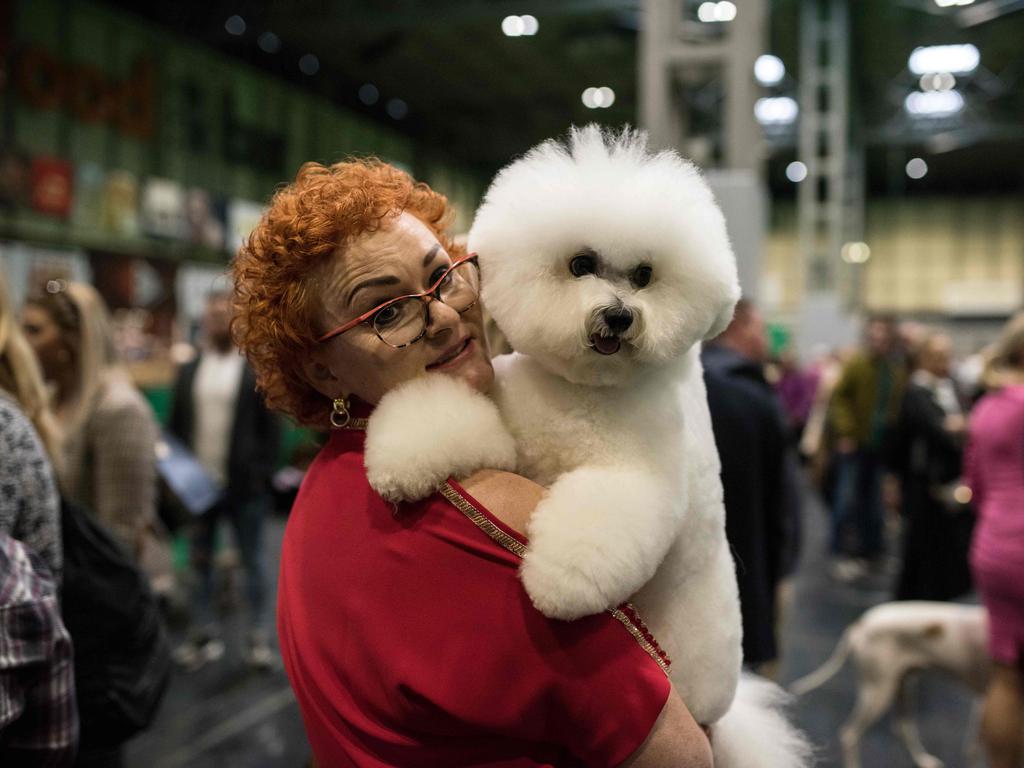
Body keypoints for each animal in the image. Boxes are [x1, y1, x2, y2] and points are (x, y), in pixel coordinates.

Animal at [786, 606, 987, 768]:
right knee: (850, 734)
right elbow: (974, 749)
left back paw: (923, 760)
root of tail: (860, 624)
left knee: (902, 727)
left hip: (902, 685)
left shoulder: (980, 703)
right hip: (879, 692)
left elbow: (974, 747)